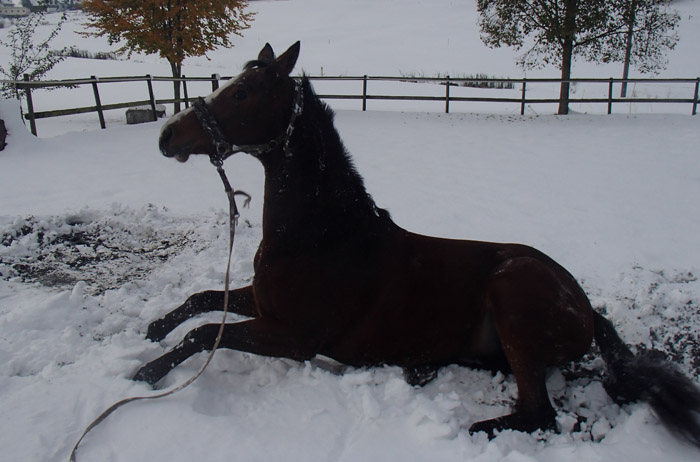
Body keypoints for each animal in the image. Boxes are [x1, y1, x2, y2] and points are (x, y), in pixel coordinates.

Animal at [138, 42, 700, 444]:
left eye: (243, 93)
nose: (166, 136)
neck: (321, 237)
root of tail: (585, 307)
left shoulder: (294, 337)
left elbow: (204, 332)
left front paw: (147, 372)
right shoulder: (263, 305)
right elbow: (201, 302)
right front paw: (154, 330)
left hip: (512, 290)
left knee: (539, 413)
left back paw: (477, 427)